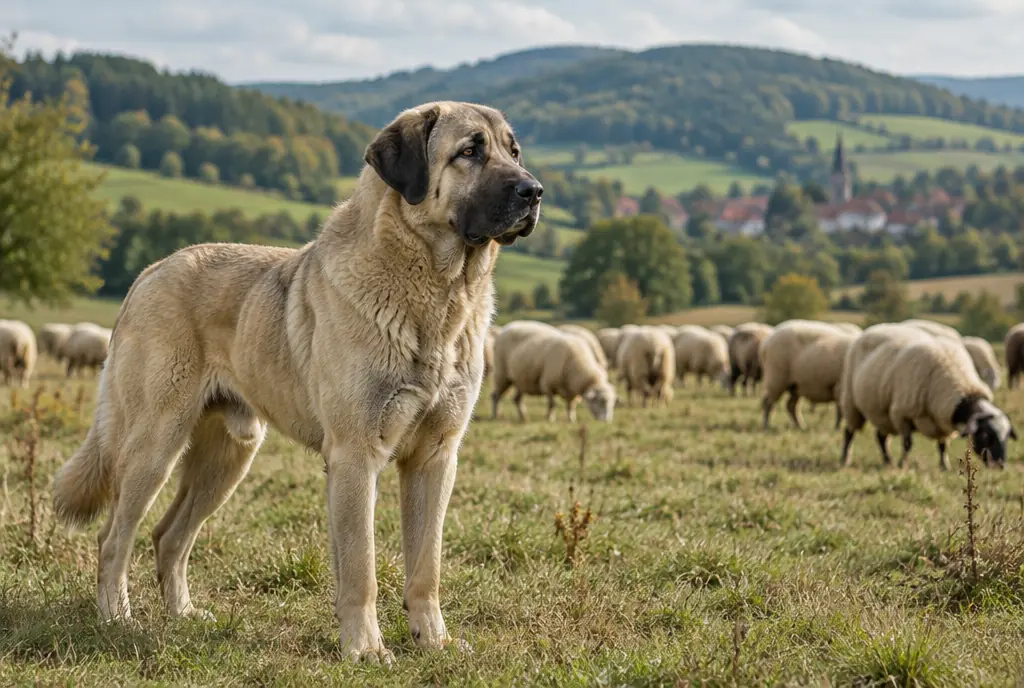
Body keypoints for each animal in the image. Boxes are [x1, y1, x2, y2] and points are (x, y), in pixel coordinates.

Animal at [839, 323, 1016, 470]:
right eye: (985, 435)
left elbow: (943, 446)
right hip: (852, 401)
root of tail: (874, 327)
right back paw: (845, 459)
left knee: (880, 436)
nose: (1000, 466)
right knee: (849, 432)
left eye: (1007, 436)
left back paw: (887, 461)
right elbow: (907, 443)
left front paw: (944, 466)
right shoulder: (901, 414)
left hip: (882, 413)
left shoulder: (943, 421)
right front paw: (902, 464)